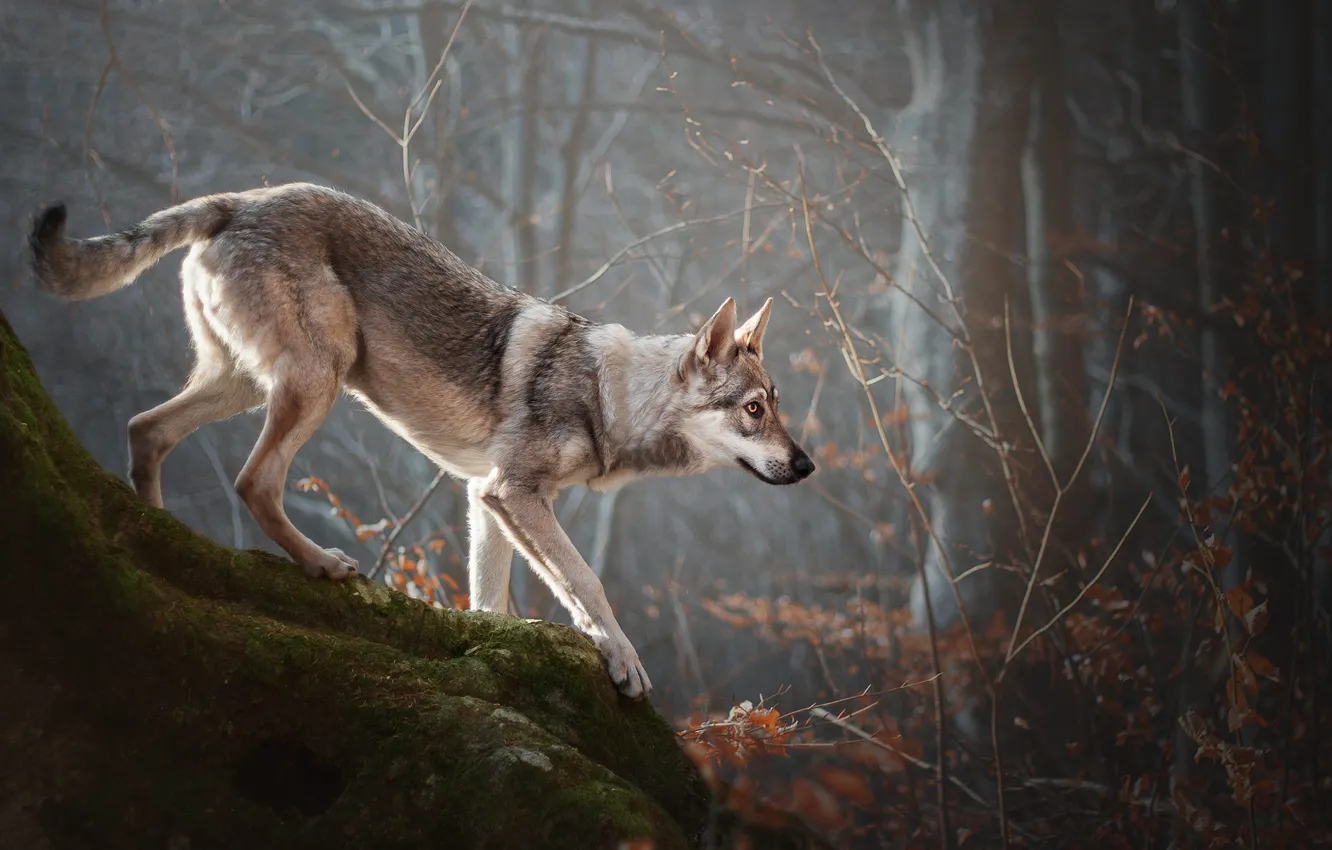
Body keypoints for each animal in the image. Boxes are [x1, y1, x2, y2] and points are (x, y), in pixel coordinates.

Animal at [28, 182, 815, 698]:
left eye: (777, 407)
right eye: (753, 410)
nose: (806, 466)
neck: (609, 394)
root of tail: (240, 198)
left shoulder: (486, 499)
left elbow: (493, 600)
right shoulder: (514, 493)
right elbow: (585, 580)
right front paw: (622, 660)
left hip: (247, 383)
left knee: (146, 430)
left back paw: (160, 532)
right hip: (315, 381)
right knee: (254, 480)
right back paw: (322, 566)